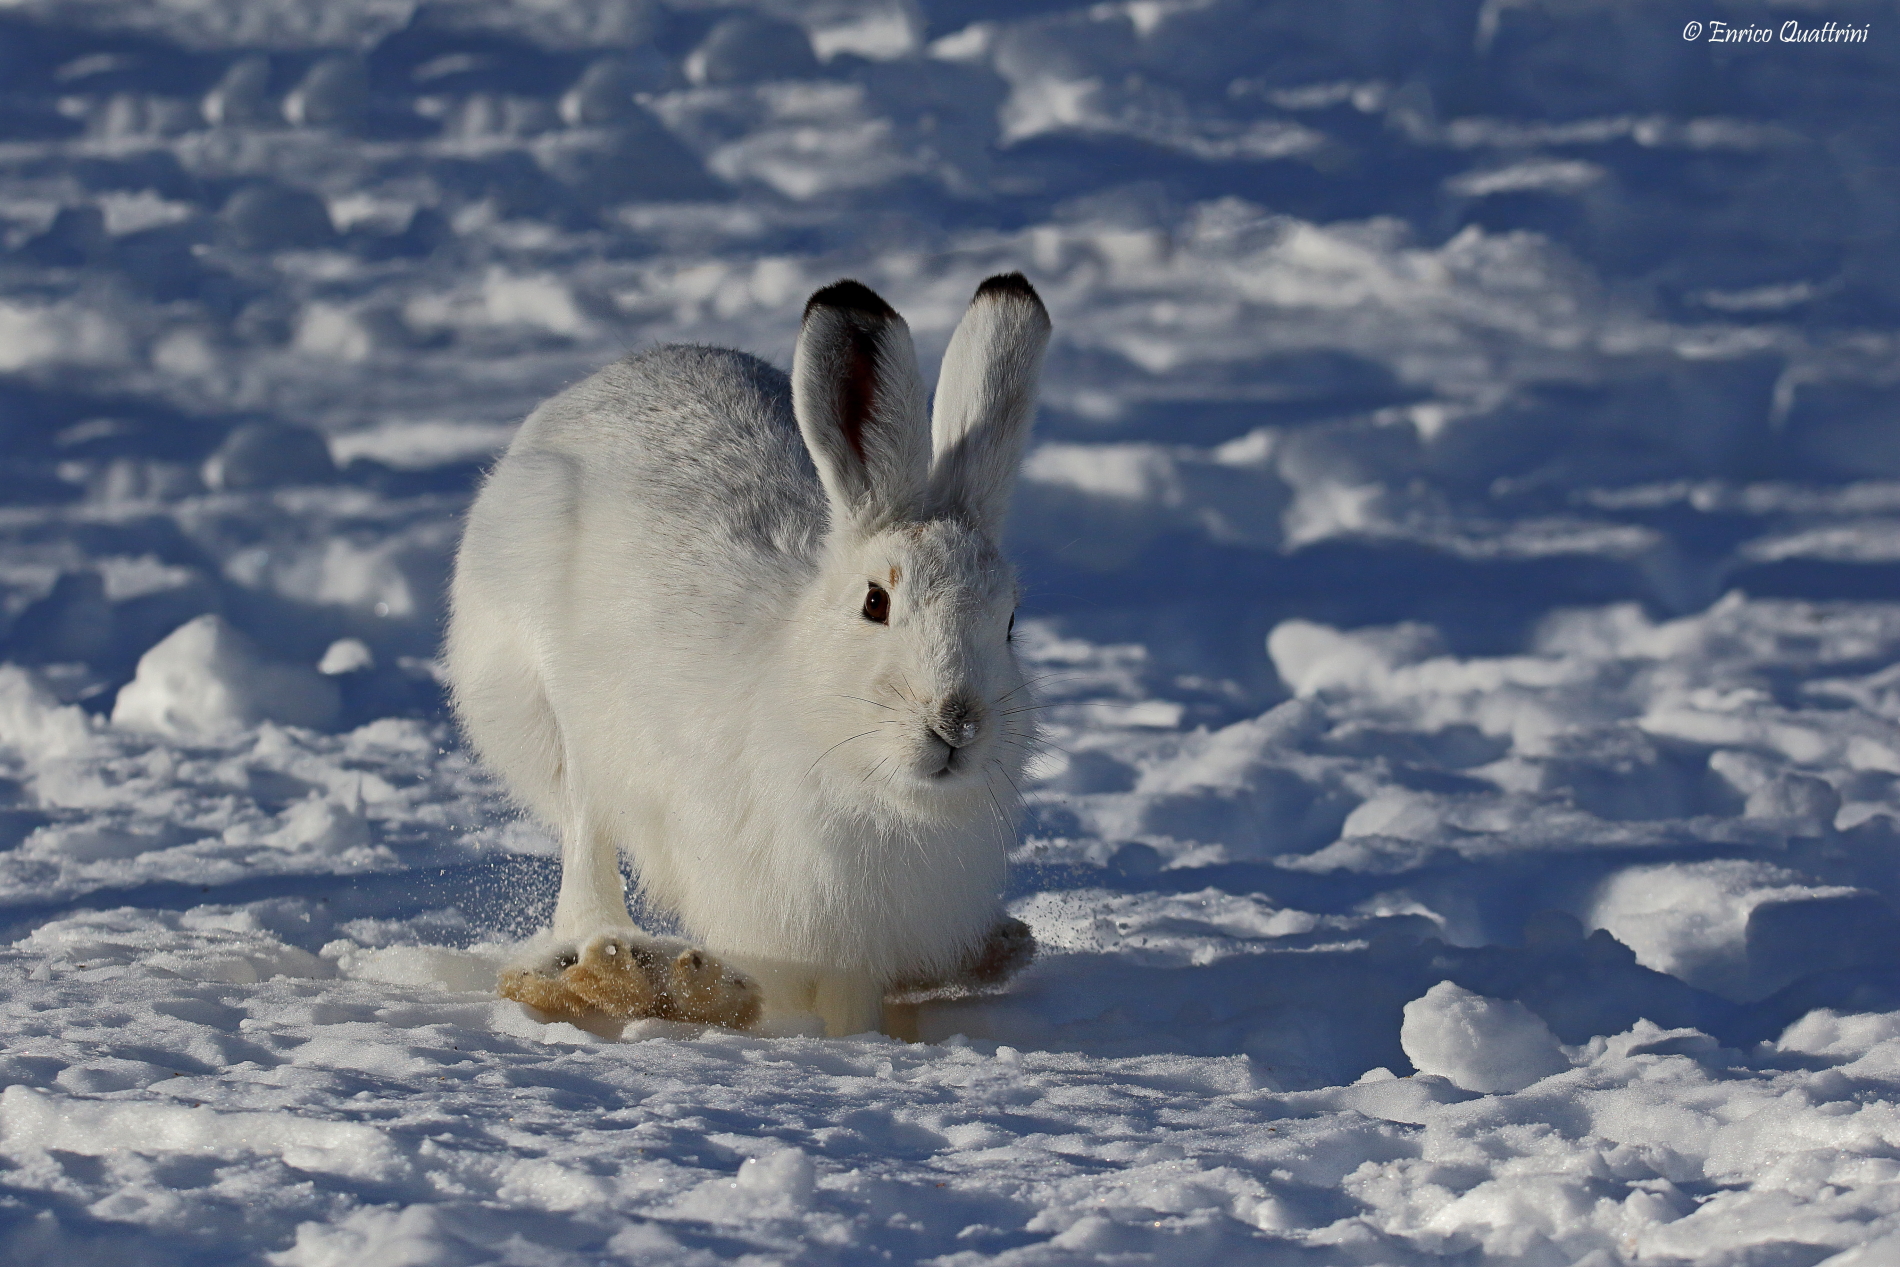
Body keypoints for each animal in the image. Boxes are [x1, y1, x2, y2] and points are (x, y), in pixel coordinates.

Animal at [445, 273, 1051, 1037]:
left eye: (1010, 621)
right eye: (874, 602)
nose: (957, 722)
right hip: (559, 712)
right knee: (587, 837)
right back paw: (608, 959)